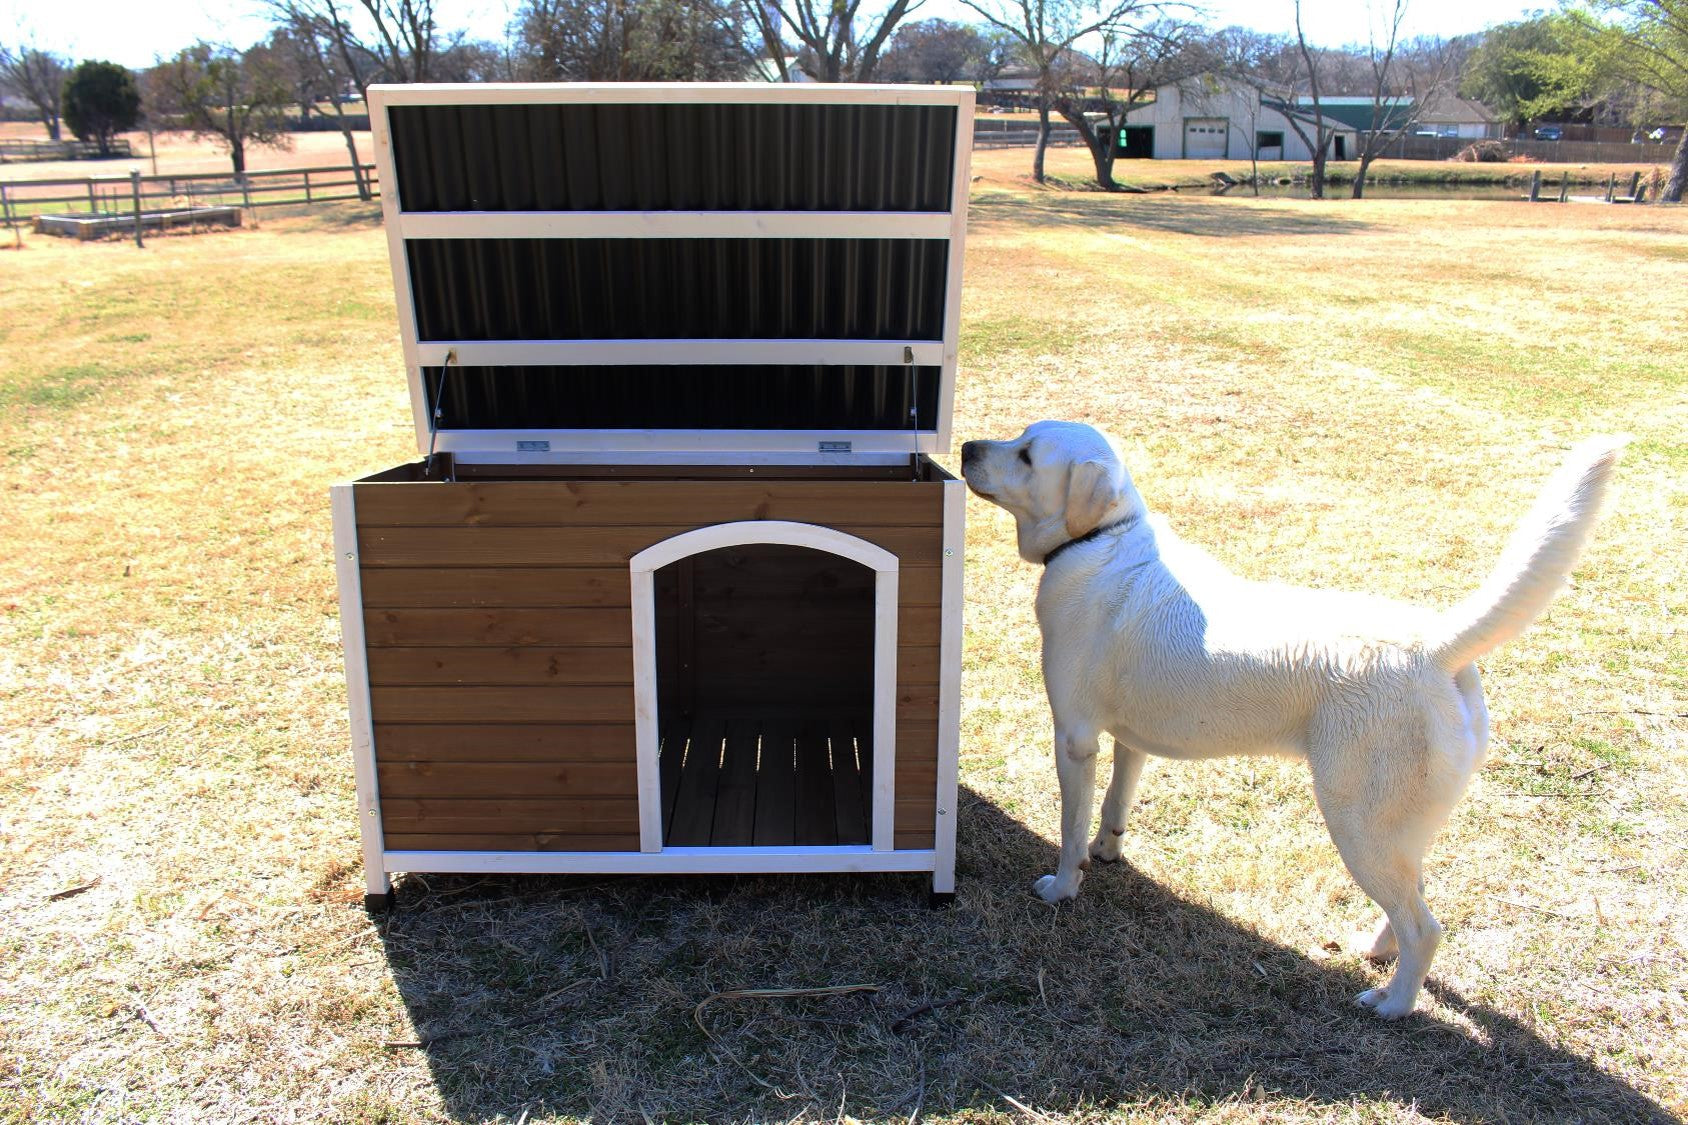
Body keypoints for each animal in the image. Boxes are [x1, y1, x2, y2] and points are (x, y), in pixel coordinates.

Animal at [958, 422, 1613, 1013]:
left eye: (1026, 454)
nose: (965, 447)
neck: (1100, 539)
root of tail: (1435, 647)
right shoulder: (1128, 740)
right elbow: (1115, 807)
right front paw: (1108, 852)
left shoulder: (1074, 739)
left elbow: (1069, 830)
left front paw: (1063, 887)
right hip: (1398, 826)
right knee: (1415, 900)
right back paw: (1378, 953)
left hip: (1358, 824)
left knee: (1425, 928)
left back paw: (1393, 1004)